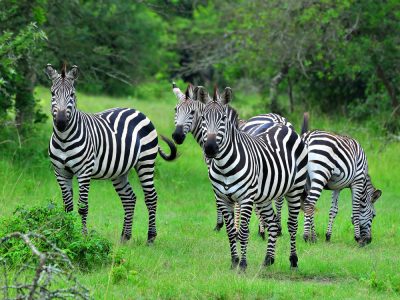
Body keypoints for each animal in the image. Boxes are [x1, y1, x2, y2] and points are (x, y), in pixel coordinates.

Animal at [44, 63, 177, 244]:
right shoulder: (60, 173)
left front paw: (83, 237)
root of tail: (137, 111)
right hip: (120, 171)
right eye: (52, 93)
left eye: (72, 94)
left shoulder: (84, 172)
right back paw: (125, 237)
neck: (64, 138)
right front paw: (66, 233)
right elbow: (68, 207)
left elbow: (82, 207)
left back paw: (150, 237)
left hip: (146, 162)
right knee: (129, 198)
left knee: (151, 197)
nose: (61, 122)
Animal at [170, 82, 290, 237]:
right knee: (279, 196)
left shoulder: (217, 170)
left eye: (192, 112)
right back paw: (278, 228)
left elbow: (221, 199)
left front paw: (221, 225)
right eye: (175, 110)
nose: (177, 136)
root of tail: (278, 119)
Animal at [199, 86, 306, 270]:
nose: (210, 148)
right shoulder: (222, 198)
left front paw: (242, 264)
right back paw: (268, 259)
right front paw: (234, 262)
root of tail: (283, 125)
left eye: (223, 118)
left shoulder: (246, 198)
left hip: (295, 189)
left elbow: (243, 232)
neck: (223, 166)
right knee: (272, 223)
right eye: (204, 118)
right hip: (264, 196)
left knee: (292, 225)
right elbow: (230, 232)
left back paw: (293, 260)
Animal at [302, 116, 382, 244]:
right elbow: (355, 209)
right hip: (320, 174)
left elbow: (333, 210)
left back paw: (313, 236)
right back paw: (306, 236)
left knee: (308, 204)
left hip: (306, 180)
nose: (369, 240)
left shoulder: (337, 187)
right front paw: (357, 238)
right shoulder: (357, 181)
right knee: (309, 203)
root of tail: (308, 137)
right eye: (374, 215)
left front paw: (328, 236)